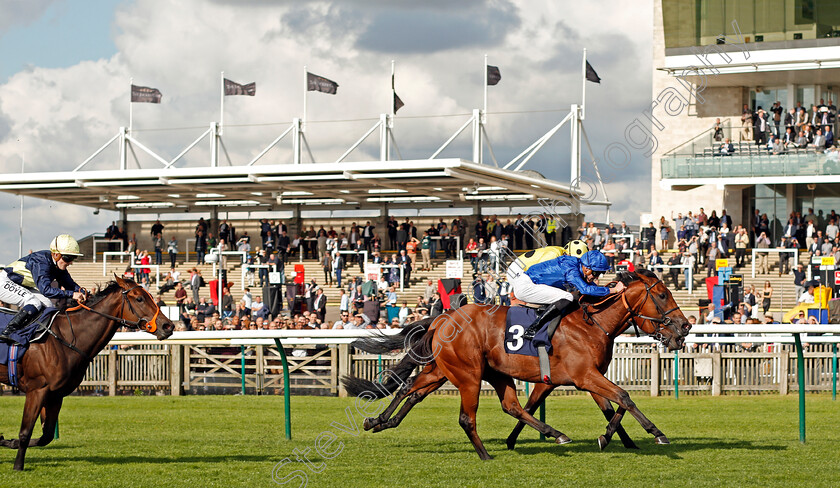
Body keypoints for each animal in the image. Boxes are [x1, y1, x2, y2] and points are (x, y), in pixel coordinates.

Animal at [0, 276, 173, 470]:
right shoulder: (36, 390)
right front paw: (18, 465)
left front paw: (6, 441)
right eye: (140, 298)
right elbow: (25, 431)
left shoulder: (55, 395)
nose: (168, 326)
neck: (66, 337)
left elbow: (46, 436)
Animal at [342, 268, 688, 460]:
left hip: (448, 370)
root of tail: (443, 316)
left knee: (411, 391)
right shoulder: (584, 376)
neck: (591, 324)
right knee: (455, 410)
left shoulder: (584, 377)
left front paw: (613, 438)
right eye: (662, 295)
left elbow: (613, 405)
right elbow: (624, 397)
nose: (684, 327)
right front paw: (655, 433)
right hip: (466, 373)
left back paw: (379, 421)